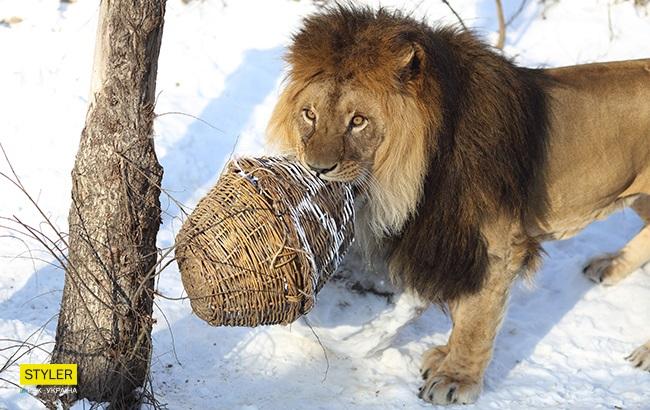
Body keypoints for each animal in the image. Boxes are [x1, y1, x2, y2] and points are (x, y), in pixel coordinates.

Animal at [264, 4, 648, 406]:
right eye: (310, 114)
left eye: (358, 121)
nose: (316, 168)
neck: (416, 174)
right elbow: (465, 313)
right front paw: (444, 357)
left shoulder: (495, 245)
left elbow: (475, 318)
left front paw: (455, 379)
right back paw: (611, 266)